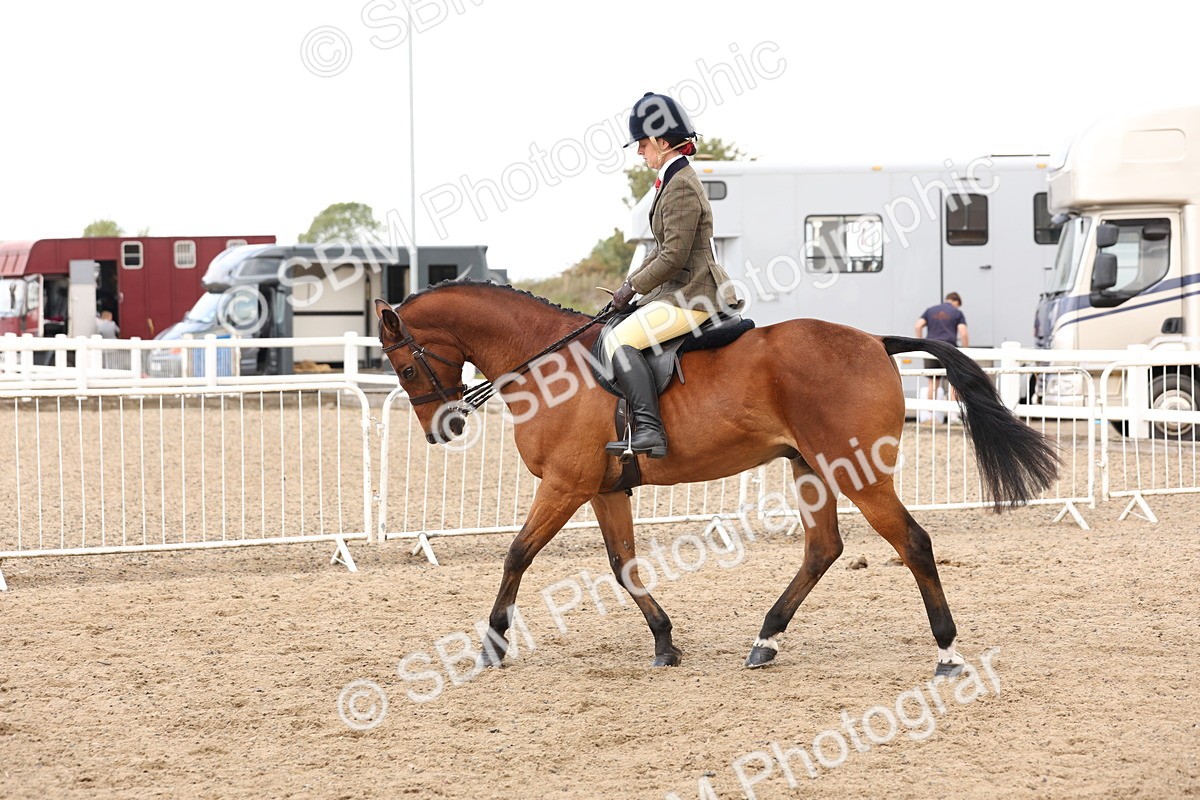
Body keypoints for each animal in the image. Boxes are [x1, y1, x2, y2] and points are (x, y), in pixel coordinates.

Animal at [374, 282, 1058, 676]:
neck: (548, 363)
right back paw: (766, 641)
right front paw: (664, 642)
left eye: (404, 367)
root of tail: (872, 341)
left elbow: (517, 553)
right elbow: (623, 565)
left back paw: (946, 652)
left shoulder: (566, 484)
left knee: (913, 543)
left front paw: (492, 645)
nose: (442, 429)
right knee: (823, 548)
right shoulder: (603, 488)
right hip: (810, 467)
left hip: (859, 473)